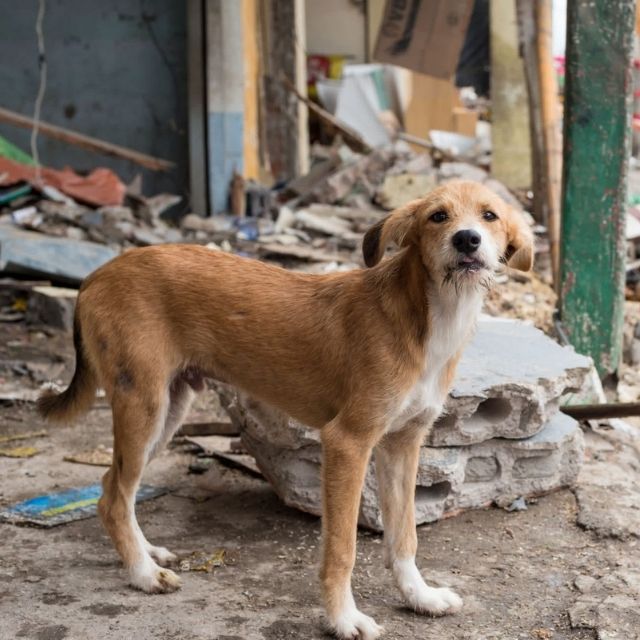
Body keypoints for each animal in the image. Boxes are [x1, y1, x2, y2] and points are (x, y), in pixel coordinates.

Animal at [37, 181, 532, 640]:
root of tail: (97, 274)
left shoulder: (402, 444)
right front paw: (343, 619)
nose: (467, 240)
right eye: (438, 216)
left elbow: (404, 534)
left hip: (169, 408)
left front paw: (419, 596)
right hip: (144, 405)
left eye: (489, 215)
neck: (429, 316)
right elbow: (342, 548)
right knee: (115, 497)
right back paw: (142, 574)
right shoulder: (348, 442)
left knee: (111, 486)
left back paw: (146, 553)